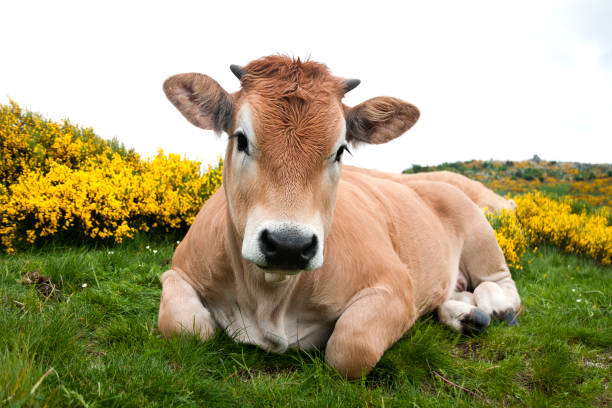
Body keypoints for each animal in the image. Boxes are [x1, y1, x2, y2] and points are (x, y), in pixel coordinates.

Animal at [158, 56, 520, 380]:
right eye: (241, 139)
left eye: (340, 150)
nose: (288, 245)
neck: (268, 301)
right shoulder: (178, 270)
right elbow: (184, 327)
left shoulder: (396, 286)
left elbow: (350, 347)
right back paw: (465, 313)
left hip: (482, 239)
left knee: (503, 284)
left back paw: (496, 308)